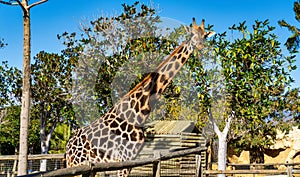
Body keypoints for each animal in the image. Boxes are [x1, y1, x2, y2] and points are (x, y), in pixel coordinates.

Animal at [66, 18, 214, 176]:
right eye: (192, 34)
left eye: (205, 36)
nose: (199, 46)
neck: (139, 112)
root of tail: (67, 147)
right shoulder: (123, 159)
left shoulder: (131, 159)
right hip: (75, 165)